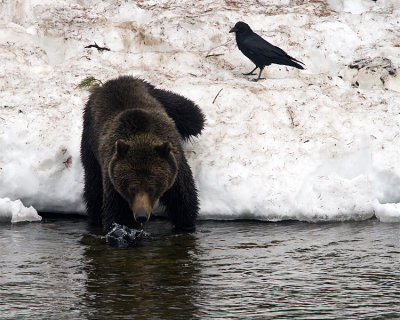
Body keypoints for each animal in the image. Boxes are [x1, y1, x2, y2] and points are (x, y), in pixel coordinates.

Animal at [81, 76, 206, 231]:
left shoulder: (175, 171)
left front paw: (185, 225)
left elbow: (183, 200)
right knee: (93, 186)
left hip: (155, 93)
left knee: (191, 115)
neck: (141, 136)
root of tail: (114, 80)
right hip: (90, 141)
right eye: (132, 189)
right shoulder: (113, 180)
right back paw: (95, 217)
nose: (141, 215)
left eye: (151, 188)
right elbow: (119, 214)